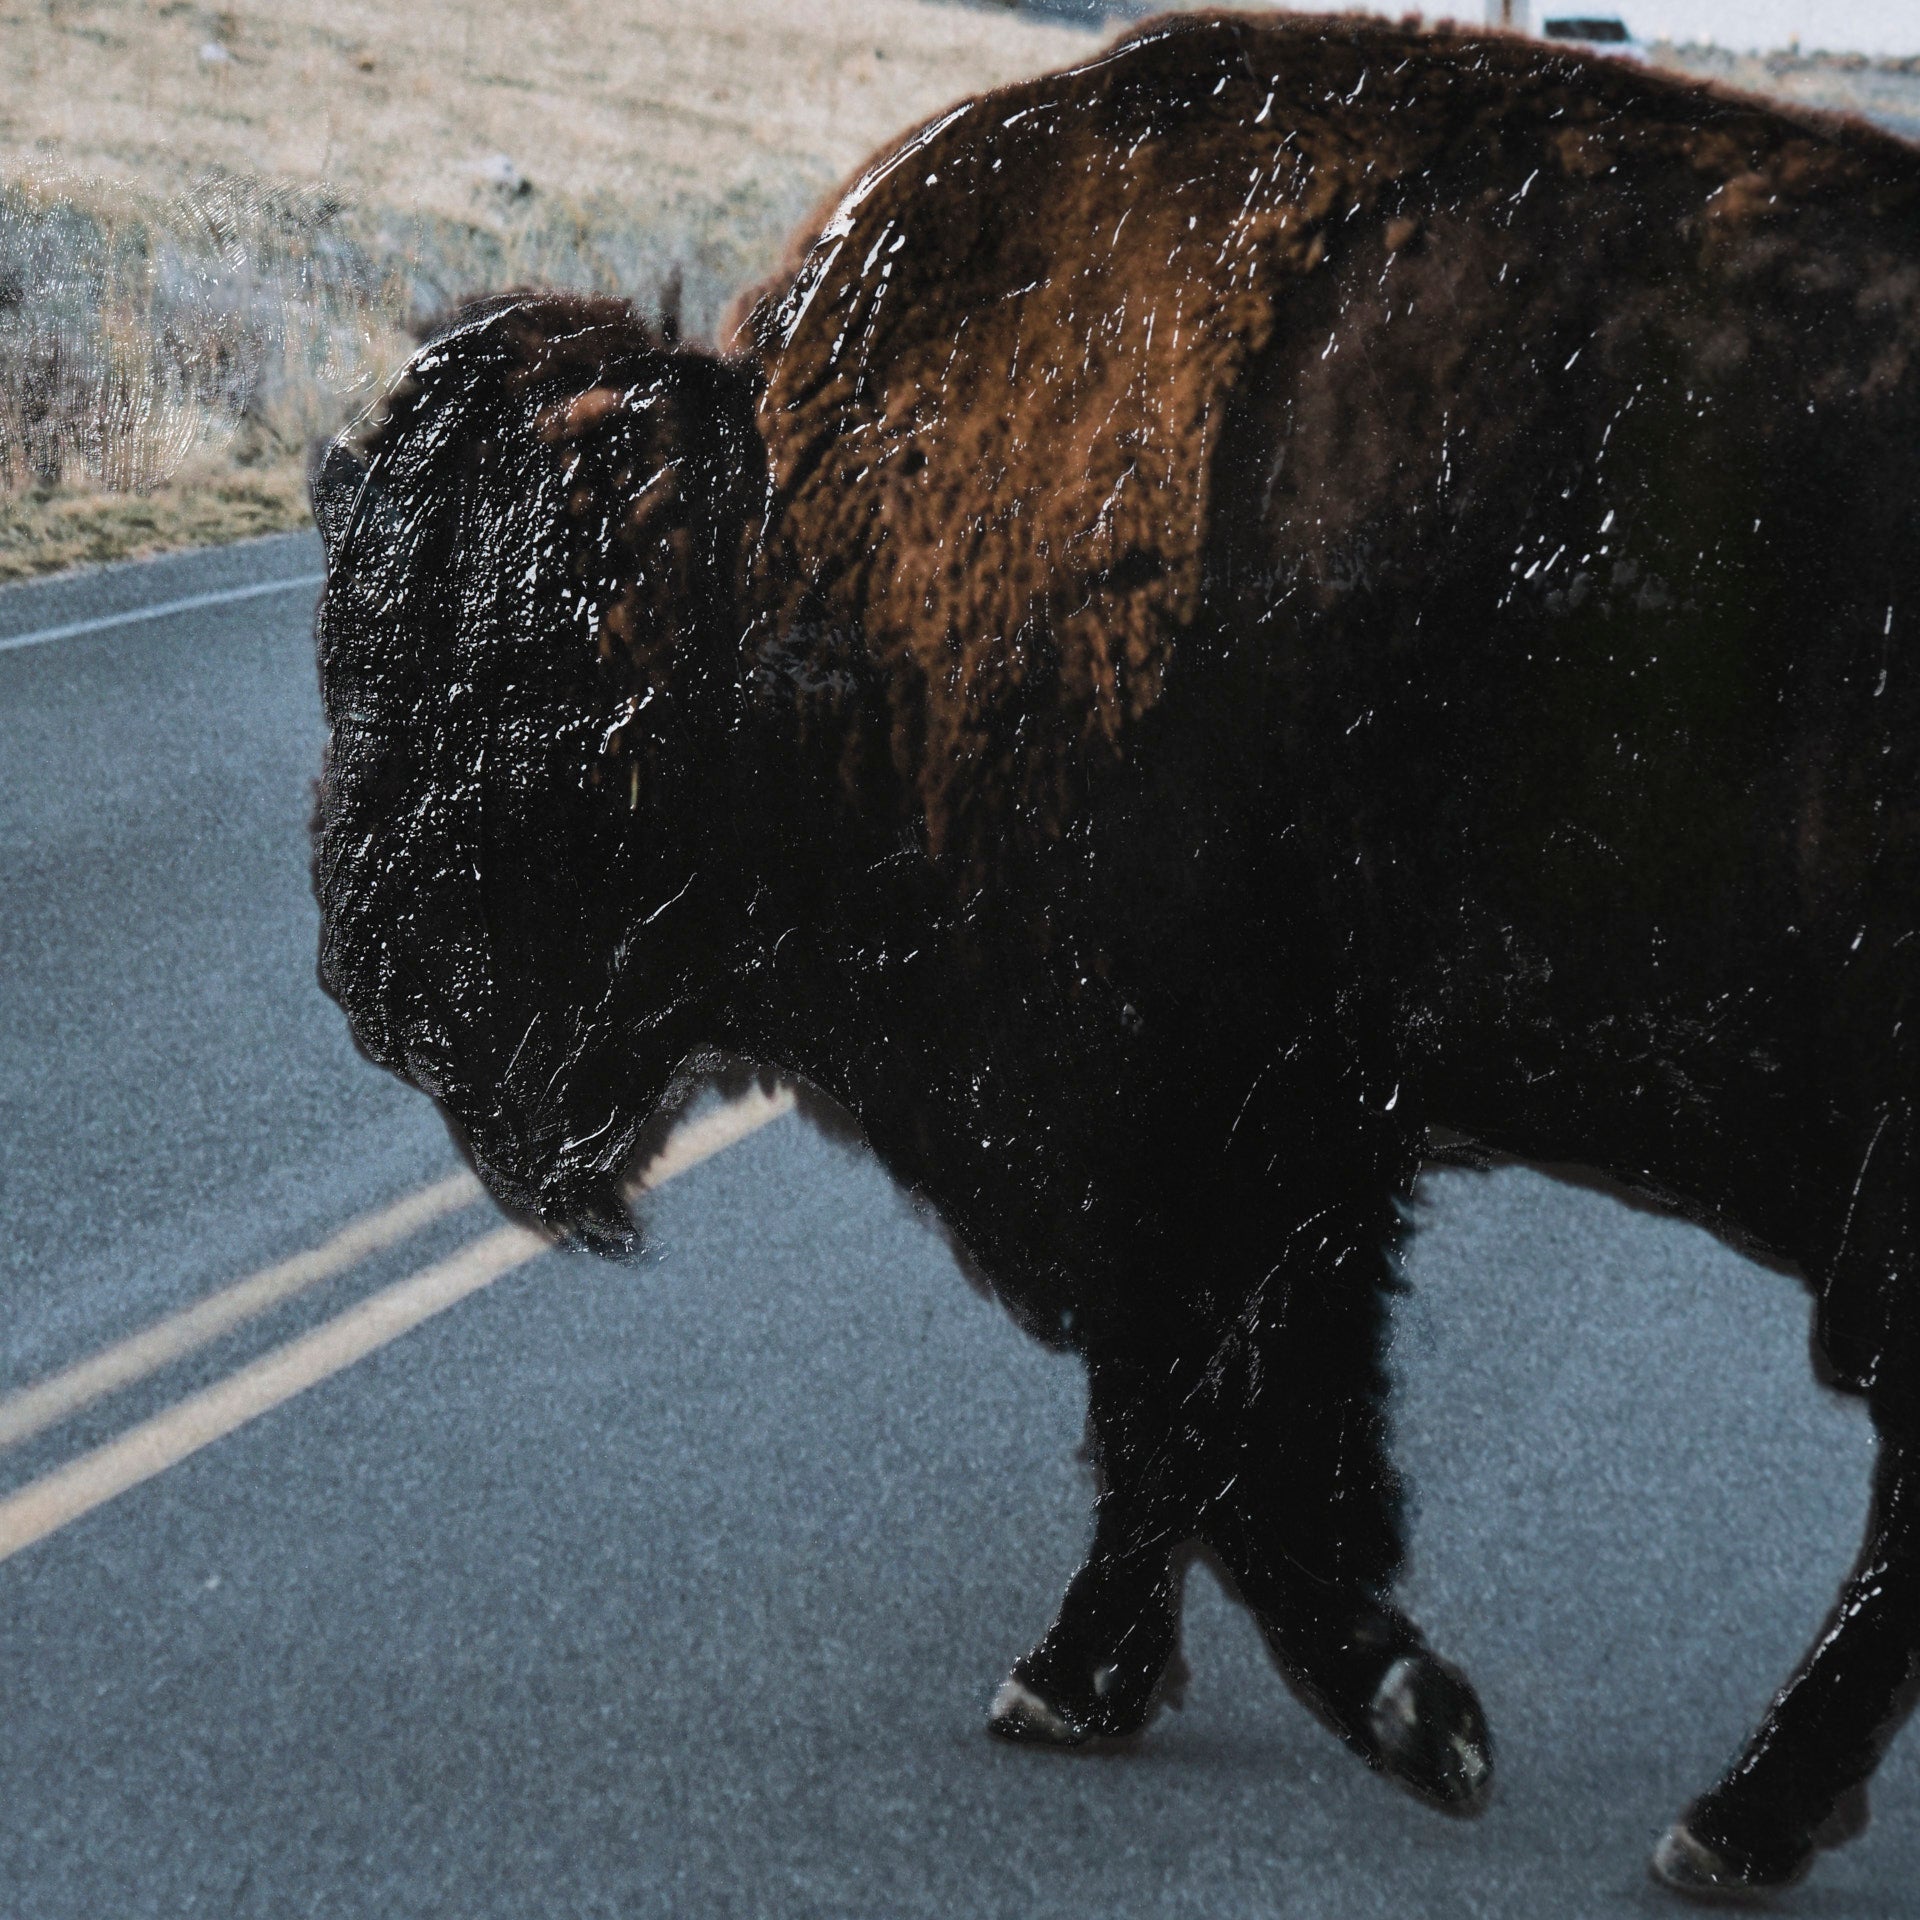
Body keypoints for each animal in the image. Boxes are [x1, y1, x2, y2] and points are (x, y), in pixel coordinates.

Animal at [310, 11, 1920, 1899]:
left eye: (513, 662)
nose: (370, 974)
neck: (787, 543)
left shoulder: (1188, 1129)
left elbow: (1201, 1429)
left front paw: (1389, 1714)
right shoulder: (1276, 1154)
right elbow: (1201, 1438)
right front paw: (1123, 1686)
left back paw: (1727, 1824)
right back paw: (1740, 1816)